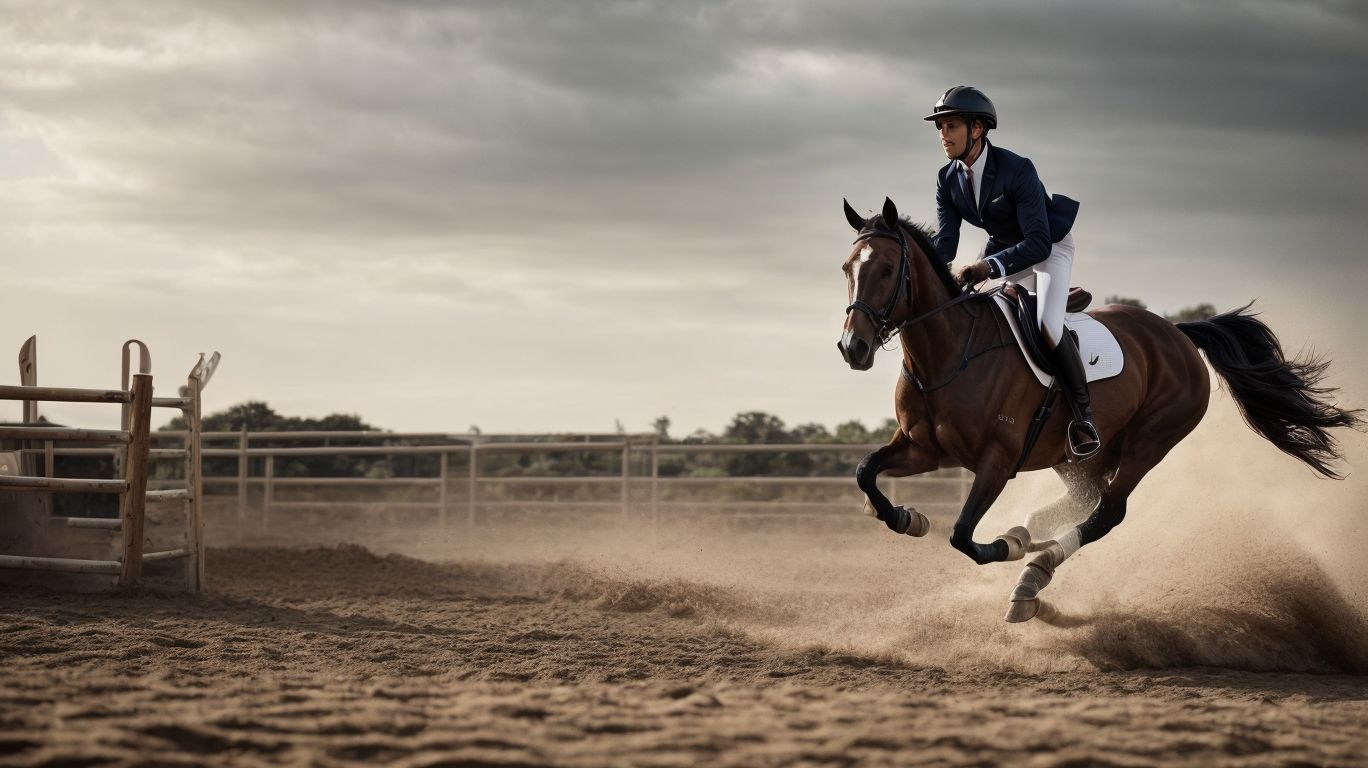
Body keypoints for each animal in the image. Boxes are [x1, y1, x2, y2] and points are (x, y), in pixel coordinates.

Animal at [836, 197, 1362, 623]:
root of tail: (1178, 334)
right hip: (1080, 453)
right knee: (1083, 499)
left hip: (1149, 441)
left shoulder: (997, 459)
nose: (852, 348)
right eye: (846, 268)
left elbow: (964, 536)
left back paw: (1031, 573)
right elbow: (867, 473)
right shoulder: (924, 449)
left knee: (1107, 511)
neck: (948, 354)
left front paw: (1004, 547)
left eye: (887, 270)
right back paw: (1029, 541)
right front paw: (908, 518)